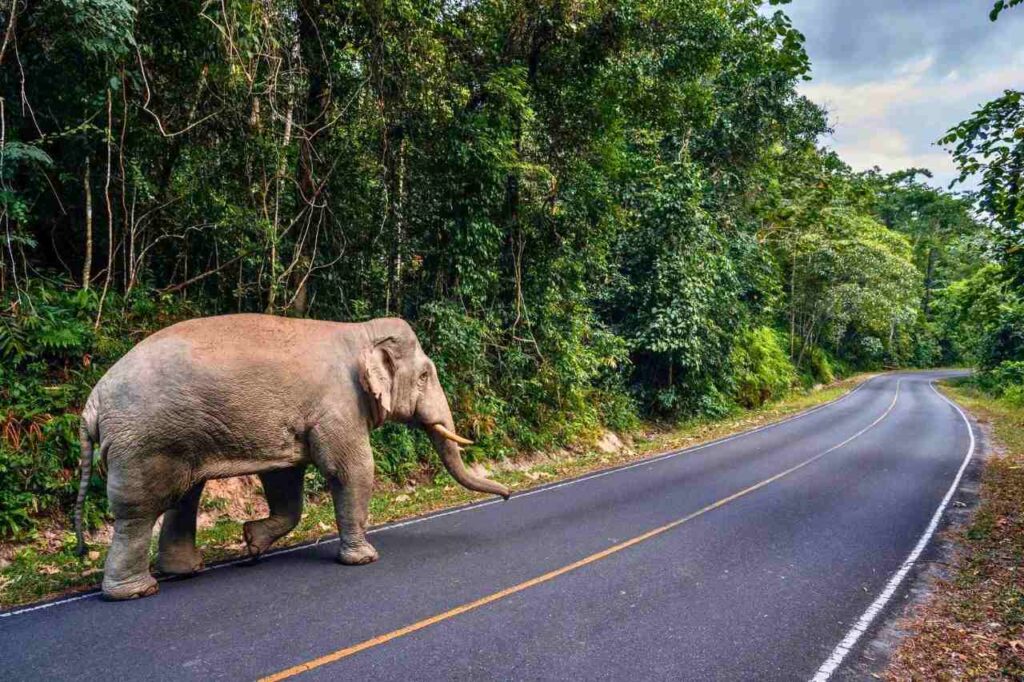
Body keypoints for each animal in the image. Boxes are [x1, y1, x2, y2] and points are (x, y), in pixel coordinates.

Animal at [73, 314, 510, 600]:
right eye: (423, 376)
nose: (507, 495)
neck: (360, 331)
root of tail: (92, 402)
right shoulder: (338, 404)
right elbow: (352, 469)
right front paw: (364, 559)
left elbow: (286, 480)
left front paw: (251, 543)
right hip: (144, 442)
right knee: (140, 509)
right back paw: (136, 591)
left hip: (174, 435)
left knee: (184, 496)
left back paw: (186, 570)